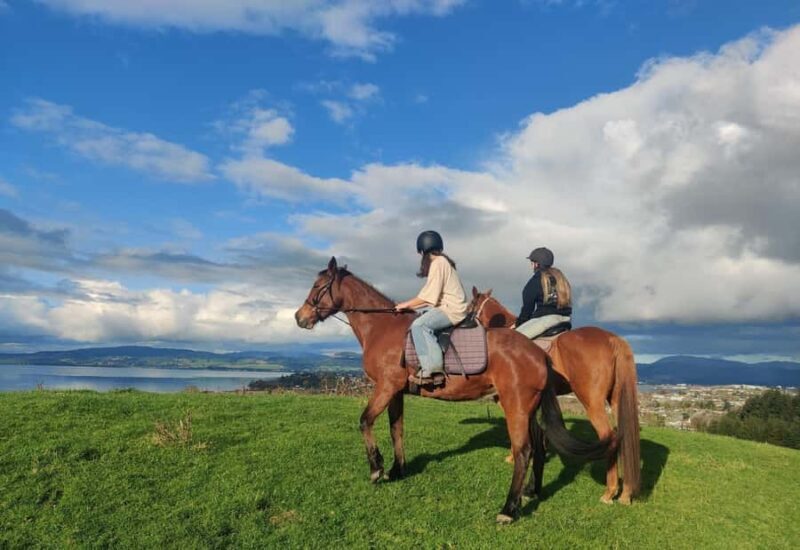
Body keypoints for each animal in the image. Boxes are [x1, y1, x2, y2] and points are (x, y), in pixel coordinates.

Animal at [294, 257, 614, 523]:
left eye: (317, 286)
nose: (299, 317)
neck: (382, 327)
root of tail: (538, 352)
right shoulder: (396, 392)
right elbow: (396, 429)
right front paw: (397, 470)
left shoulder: (385, 387)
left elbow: (365, 421)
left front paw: (377, 469)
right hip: (530, 408)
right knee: (537, 448)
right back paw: (531, 492)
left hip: (517, 406)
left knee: (523, 451)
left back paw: (509, 509)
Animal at [469, 288, 641, 504]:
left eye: (470, 306)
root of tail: (612, 339)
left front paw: (513, 457)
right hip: (617, 401)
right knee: (624, 438)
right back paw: (626, 493)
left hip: (592, 403)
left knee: (609, 438)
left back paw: (610, 491)